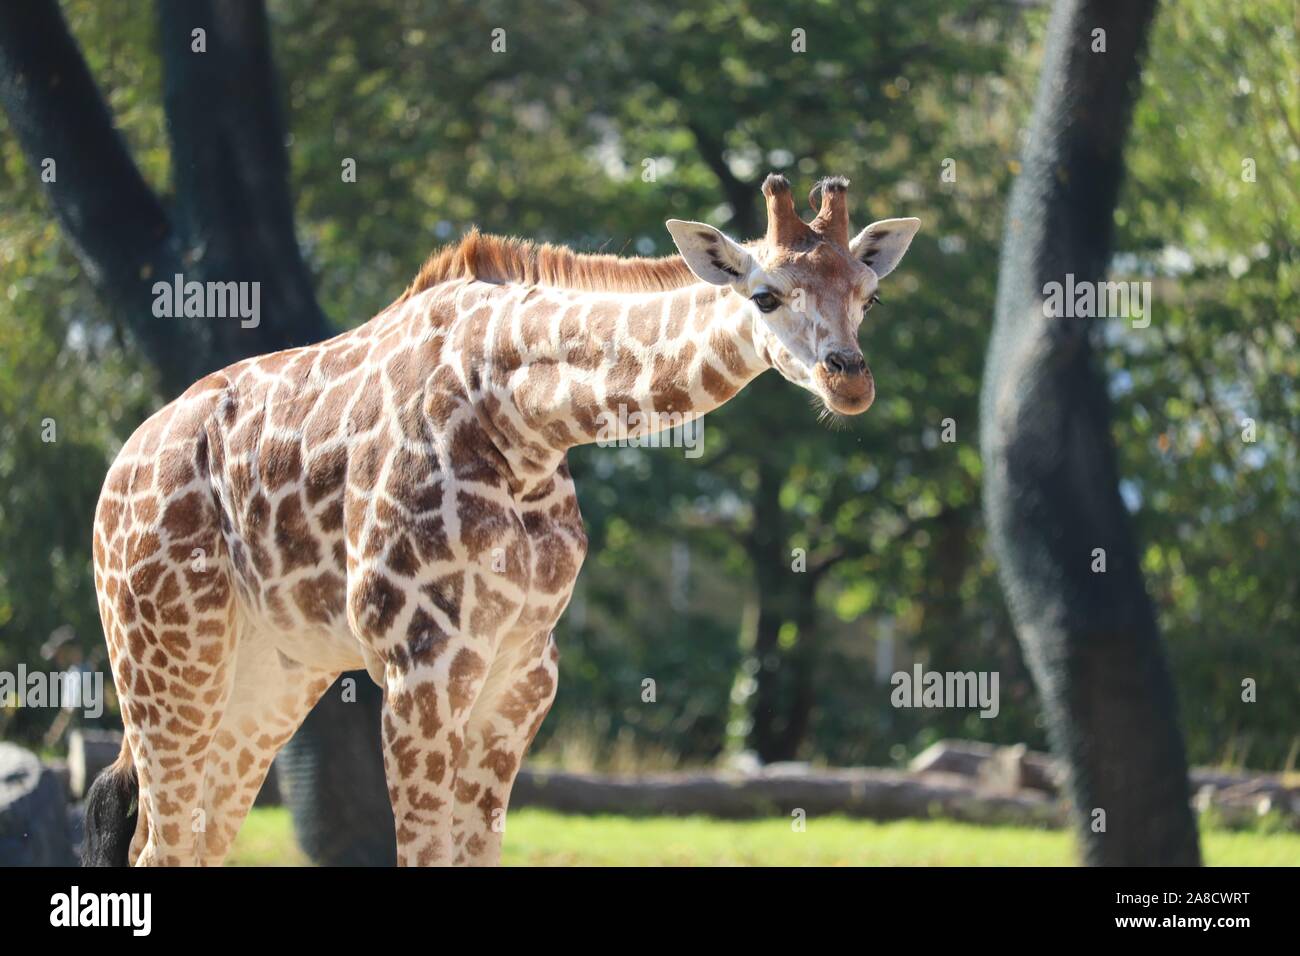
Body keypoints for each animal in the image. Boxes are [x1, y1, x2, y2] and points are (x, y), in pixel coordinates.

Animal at [83, 173, 919, 866]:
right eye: (765, 296)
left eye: (868, 296)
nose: (851, 380)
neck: (525, 423)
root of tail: (119, 469)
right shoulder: (420, 664)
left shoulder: (522, 673)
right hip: (165, 657)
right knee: (156, 843)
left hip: (267, 673)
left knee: (196, 838)